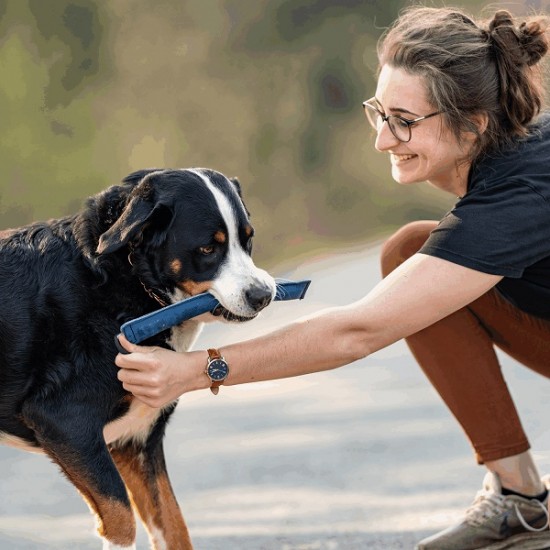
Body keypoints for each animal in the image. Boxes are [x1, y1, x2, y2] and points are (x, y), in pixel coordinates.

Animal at [0, 169, 276, 550]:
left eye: (247, 240)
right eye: (208, 248)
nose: (263, 295)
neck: (124, 280)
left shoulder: (136, 441)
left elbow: (173, 526)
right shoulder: (66, 422)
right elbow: (120, 520)